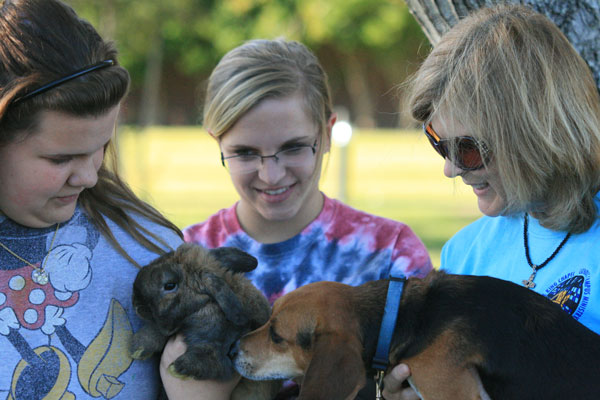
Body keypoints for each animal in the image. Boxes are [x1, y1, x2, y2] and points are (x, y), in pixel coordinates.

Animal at [131, 242, 278, 398]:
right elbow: (156, 331)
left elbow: (209, 358)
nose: (135, 303)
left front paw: (179, 369)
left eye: (169, 286)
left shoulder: (226, 354)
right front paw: (138, 347)